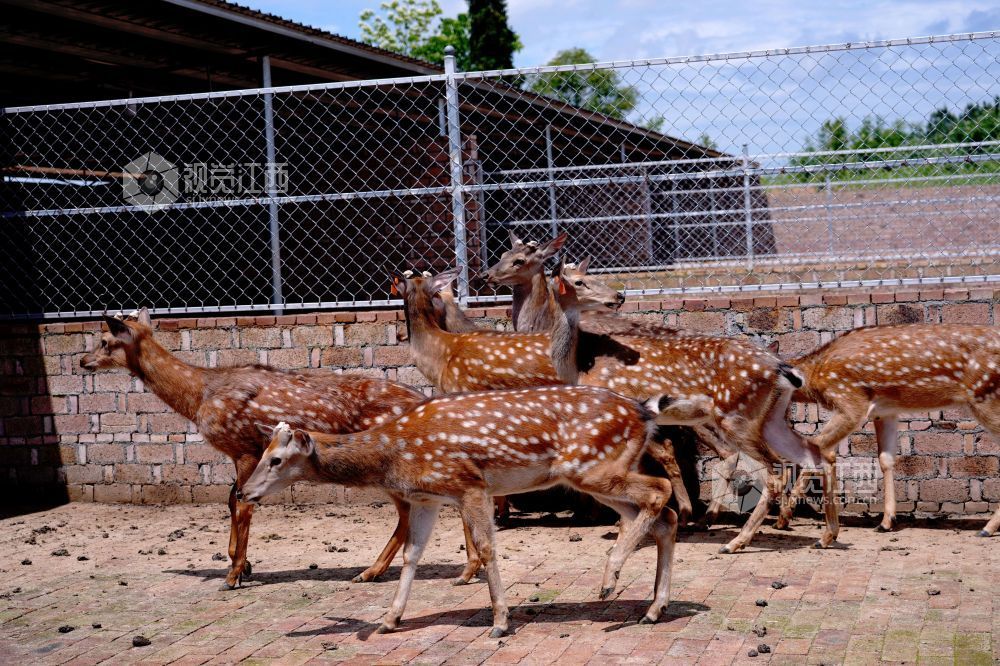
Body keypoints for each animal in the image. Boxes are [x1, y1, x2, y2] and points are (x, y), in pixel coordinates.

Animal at [78, 308, 487, 589]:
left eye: (105, 340)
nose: (82, 360)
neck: (200, 396)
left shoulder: (244, 446)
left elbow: (242, 504)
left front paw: (233, 575)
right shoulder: (241, 452)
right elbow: (232, 500)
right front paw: (241, 564)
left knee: (412, 509)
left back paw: (395, 571)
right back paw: (440, 569)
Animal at [244, 384, 679, 638]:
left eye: (276, 460)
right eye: (263, 454)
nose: (244, 491)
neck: (394, 455)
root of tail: (645, 412)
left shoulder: (469, 484)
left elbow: (486, 548)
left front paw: (500, 622)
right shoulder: (427, 498)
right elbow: (412, 554)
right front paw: (389, 619)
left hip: (591, 466)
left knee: (662, 490)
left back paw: (610, 579)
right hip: (595, 472)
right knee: (664, 517)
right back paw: (653, 609)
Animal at [487, 234, 821, 551]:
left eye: (518, 259)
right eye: (579, 281)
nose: (618, 296)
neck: (578, 366)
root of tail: (781, 366)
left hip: (734, 417)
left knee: (768, 467)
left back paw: (736, 539)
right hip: (766, 419)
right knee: (804, 454)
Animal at [772, 323, 1000, 535]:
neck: (817, 378)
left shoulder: (851, 401)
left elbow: (816, 445)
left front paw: (783, 519)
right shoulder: (885, 411)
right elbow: (885, 459)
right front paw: (886, 522)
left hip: (984, 396)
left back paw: (987, 528)